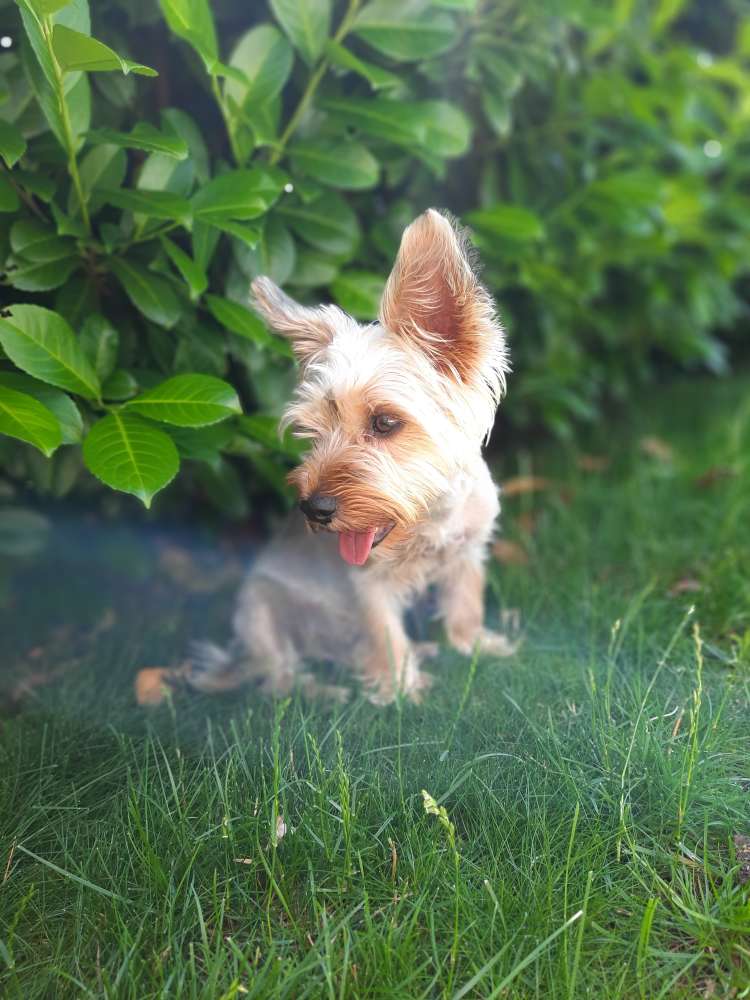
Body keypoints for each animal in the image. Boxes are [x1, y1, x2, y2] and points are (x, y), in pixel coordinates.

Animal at [185, 209, 520, 704]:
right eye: (314, 432)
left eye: (385, 422)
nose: (314, 508)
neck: (428, 517)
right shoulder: (368, 583)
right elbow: (385, 633)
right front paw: (400, 692)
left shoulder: (467, 552)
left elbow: (465, 603)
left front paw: (473, 646)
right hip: (259, 607)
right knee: (278, 674)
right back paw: (322, 690)